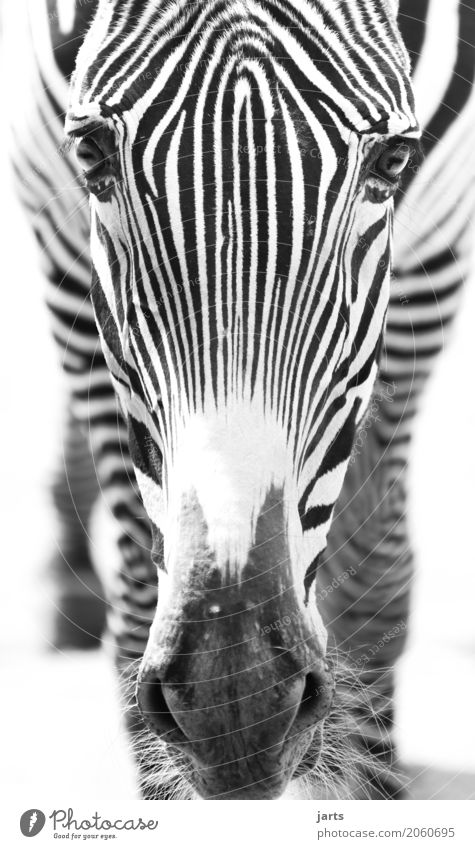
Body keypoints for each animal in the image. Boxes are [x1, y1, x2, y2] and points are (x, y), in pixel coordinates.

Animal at [6, 0, 475, 800]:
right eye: (92, 155)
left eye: (391, 163)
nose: (235, 702)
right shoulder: (50, 198)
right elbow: (140, 599)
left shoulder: (442, 235)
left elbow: (373, 577)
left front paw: (369, 784)